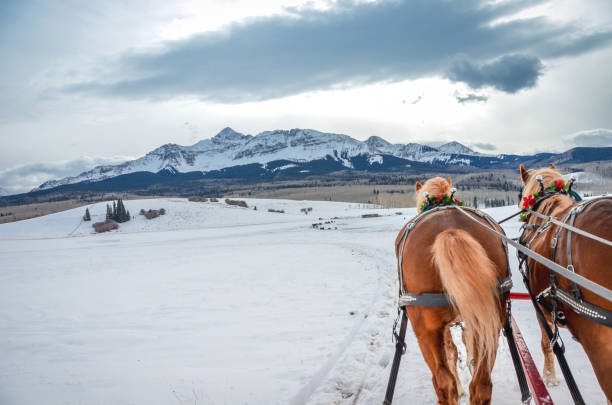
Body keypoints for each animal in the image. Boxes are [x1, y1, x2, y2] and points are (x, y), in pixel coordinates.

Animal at [394, 177, 510, 404]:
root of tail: (450, 231)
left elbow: (451, 353)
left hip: (426, 330)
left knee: (443, 380)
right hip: (491, 320)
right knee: (482, 383)